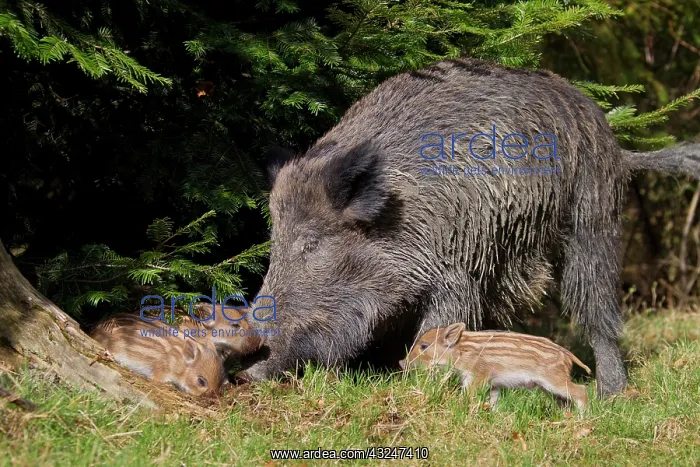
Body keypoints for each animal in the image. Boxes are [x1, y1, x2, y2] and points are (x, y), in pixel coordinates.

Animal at [238, 56, 700, 397]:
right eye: (273, 239)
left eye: (312, 243)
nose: (247, 354)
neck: (399, 216)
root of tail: (617, 147)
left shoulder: (456, 271)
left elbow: (438, 325)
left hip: (593, 220)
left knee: (597, 307)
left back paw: (612, 394)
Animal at [398, 323, 592, 410]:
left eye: (424, 346)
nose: (401, 362)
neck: (462, 350)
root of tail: (567, 354)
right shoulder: (494, 384)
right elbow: (493, 401)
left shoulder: (477, 376)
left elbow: (467, 395)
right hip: (547, 388)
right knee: (565, 402)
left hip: (555, 380)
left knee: (581, 391)